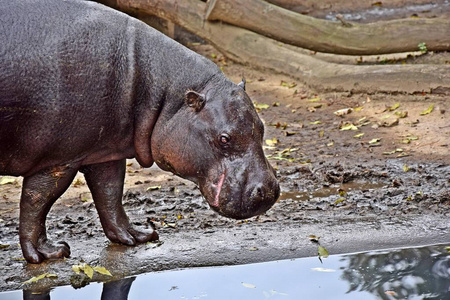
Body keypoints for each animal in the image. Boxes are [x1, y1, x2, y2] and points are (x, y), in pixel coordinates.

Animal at [0, 0, 280, 262]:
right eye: (224, 139)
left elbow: (110, 193)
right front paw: (48, 253)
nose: (268, 190)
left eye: (262, 127)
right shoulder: (58, 160)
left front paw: (138, 236)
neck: (163, 92)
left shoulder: (105, 150)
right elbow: (37, 202)